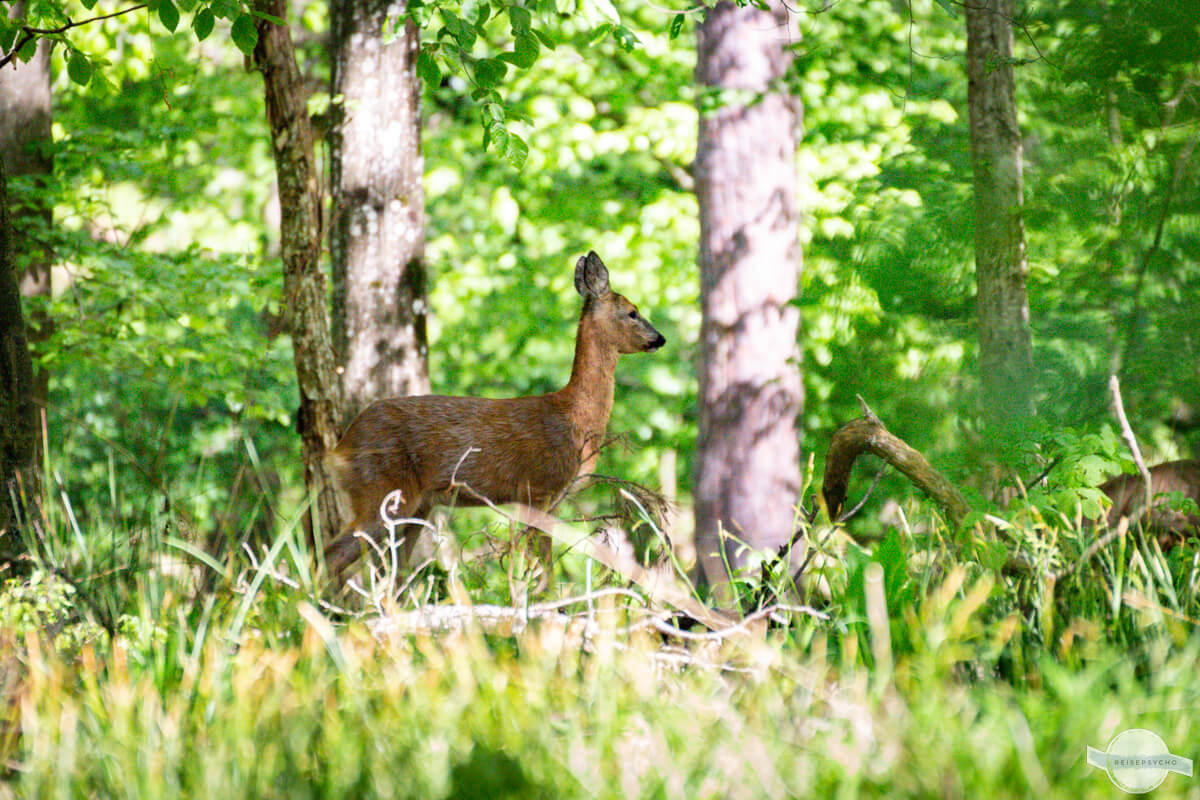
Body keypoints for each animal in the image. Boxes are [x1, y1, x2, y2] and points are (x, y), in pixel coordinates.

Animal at [322, 251, 666, 582]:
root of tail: (339, 449)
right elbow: (545, 571)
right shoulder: (538, 487)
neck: (575, 418)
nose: (659, 338)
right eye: (632, 312)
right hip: (380, 489)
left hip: (416, 505)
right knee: (328, 557)